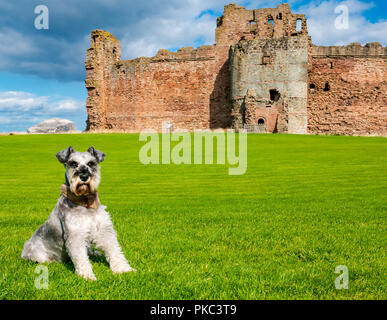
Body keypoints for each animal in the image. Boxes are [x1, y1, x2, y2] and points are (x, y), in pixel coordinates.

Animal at [22, 146, 136, 278]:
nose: (84, 176)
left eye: (91, 163)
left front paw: (123, 269)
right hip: (36, 253)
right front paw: (87, 275)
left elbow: (114, 250)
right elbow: (81, 257)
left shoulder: (104, 230)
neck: (85, 202)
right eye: (73, 163)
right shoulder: (75, 234)